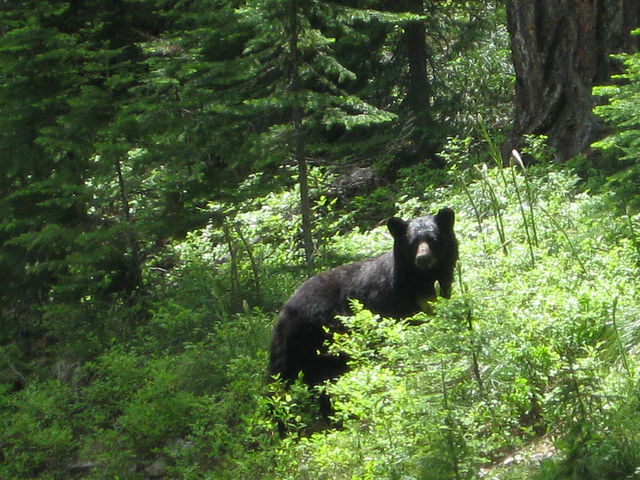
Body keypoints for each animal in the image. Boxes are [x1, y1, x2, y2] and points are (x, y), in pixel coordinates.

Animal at [268, 208, 458, 388]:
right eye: (412, 243)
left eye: (434, 240)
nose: (423, 258)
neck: (421, 280)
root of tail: (286, 309)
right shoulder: (390, 302)